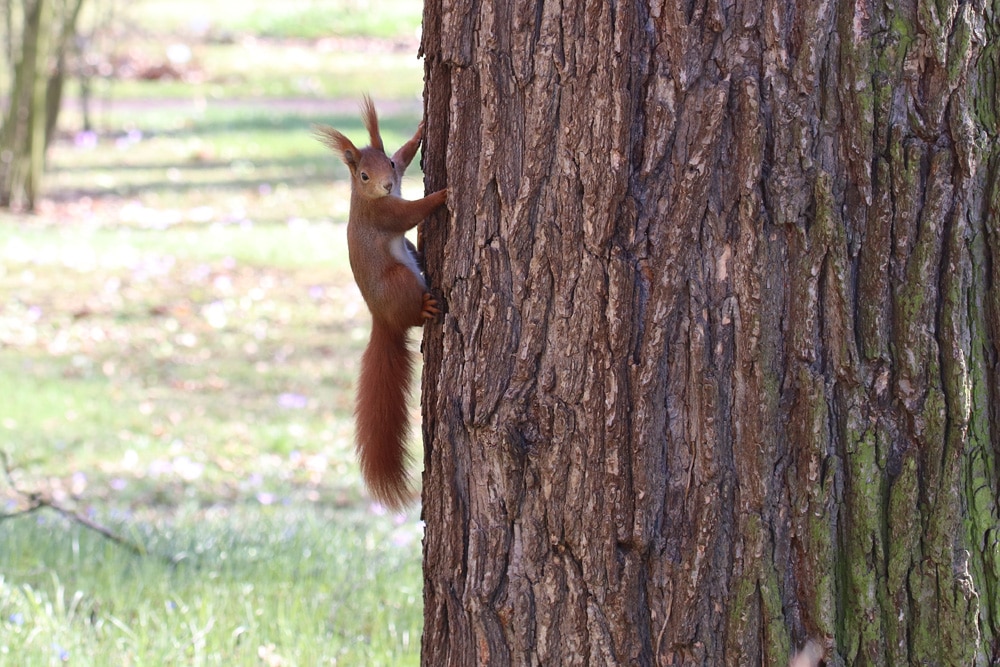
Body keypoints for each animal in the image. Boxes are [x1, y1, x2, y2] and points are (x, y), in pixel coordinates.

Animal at [316, 96, 450, 508]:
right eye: (363, 176)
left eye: (388, 164)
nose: (388, 185)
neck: (366, 198)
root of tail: (382, 320)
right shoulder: (383, 213)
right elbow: (410, 212)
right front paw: (440, 196)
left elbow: (409, 153)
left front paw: (420, 132)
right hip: (399, 281)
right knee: (415, 316)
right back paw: (425, 309)